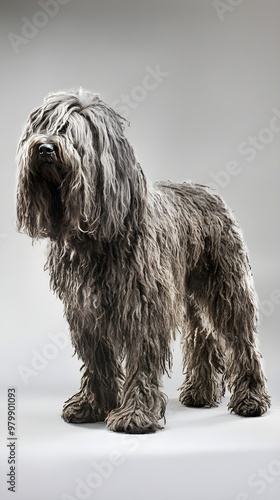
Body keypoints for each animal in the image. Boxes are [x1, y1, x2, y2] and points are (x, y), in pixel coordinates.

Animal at [16, 90, 270, 434]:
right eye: (42, 126)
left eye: (71, 130)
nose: (44, 147)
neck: (96, 235)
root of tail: (208, 192)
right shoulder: (86, 312)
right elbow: (97, 360)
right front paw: (92, 405)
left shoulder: (144, 308)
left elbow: (141, 362)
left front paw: (134, 414)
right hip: (191, 294)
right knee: (202, 338)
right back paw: (200, 392)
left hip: (226, 287)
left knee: (242, 341)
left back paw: (251, 400)